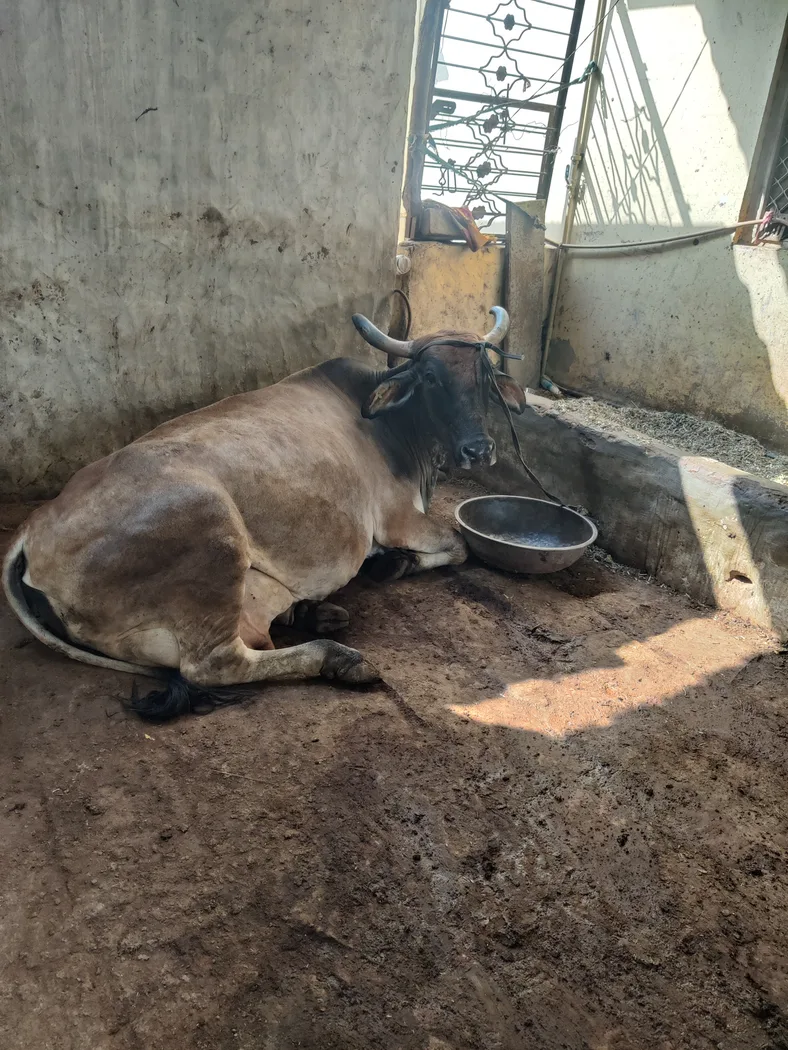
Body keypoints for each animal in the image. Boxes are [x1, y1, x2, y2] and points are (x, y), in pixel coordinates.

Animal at [3, 307, 525, 718]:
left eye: (483, 377)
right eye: (432, 377)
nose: (479, 449)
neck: (395, 429)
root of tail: (32, 527)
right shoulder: (398, 517)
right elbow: (458, 544)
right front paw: (394, 563)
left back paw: (312, 613)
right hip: (212, 535)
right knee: (216, 664)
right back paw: (337, 656)